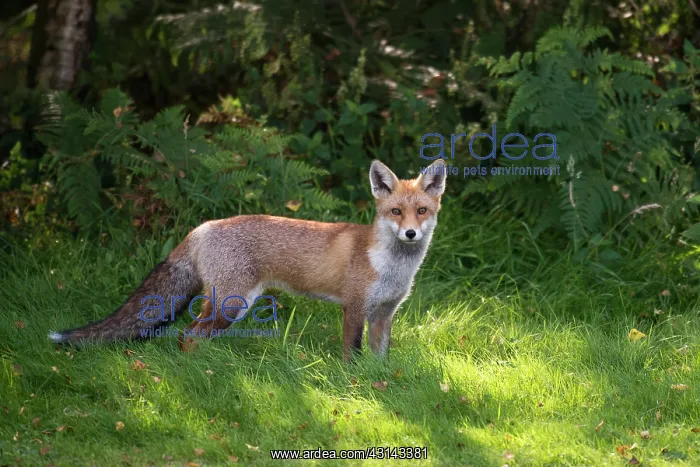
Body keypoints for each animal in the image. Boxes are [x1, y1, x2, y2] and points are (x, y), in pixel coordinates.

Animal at [48, 158, 447, 362]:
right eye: (395, 212)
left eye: (421, 212)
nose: (411, 234)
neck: (392, 267)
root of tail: (202, 227)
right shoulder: (353, 307)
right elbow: (352, 354)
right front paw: (353, 385)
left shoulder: (384, 314)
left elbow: (380, 359)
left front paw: (379, 384)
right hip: (233, 303)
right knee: (188, 335)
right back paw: (200, 371)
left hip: (225, 303)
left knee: (191, 334)